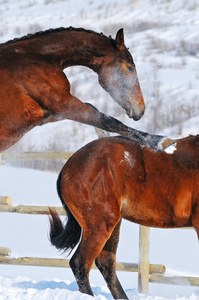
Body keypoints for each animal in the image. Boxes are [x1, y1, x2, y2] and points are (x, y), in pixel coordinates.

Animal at [0, 26, 171, 152]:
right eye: (130, 68)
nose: (141, 110)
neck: (39, 59)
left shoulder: (50, 113)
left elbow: (96, 113)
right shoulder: (62, 104)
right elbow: (110, 121)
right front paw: (162, 141)